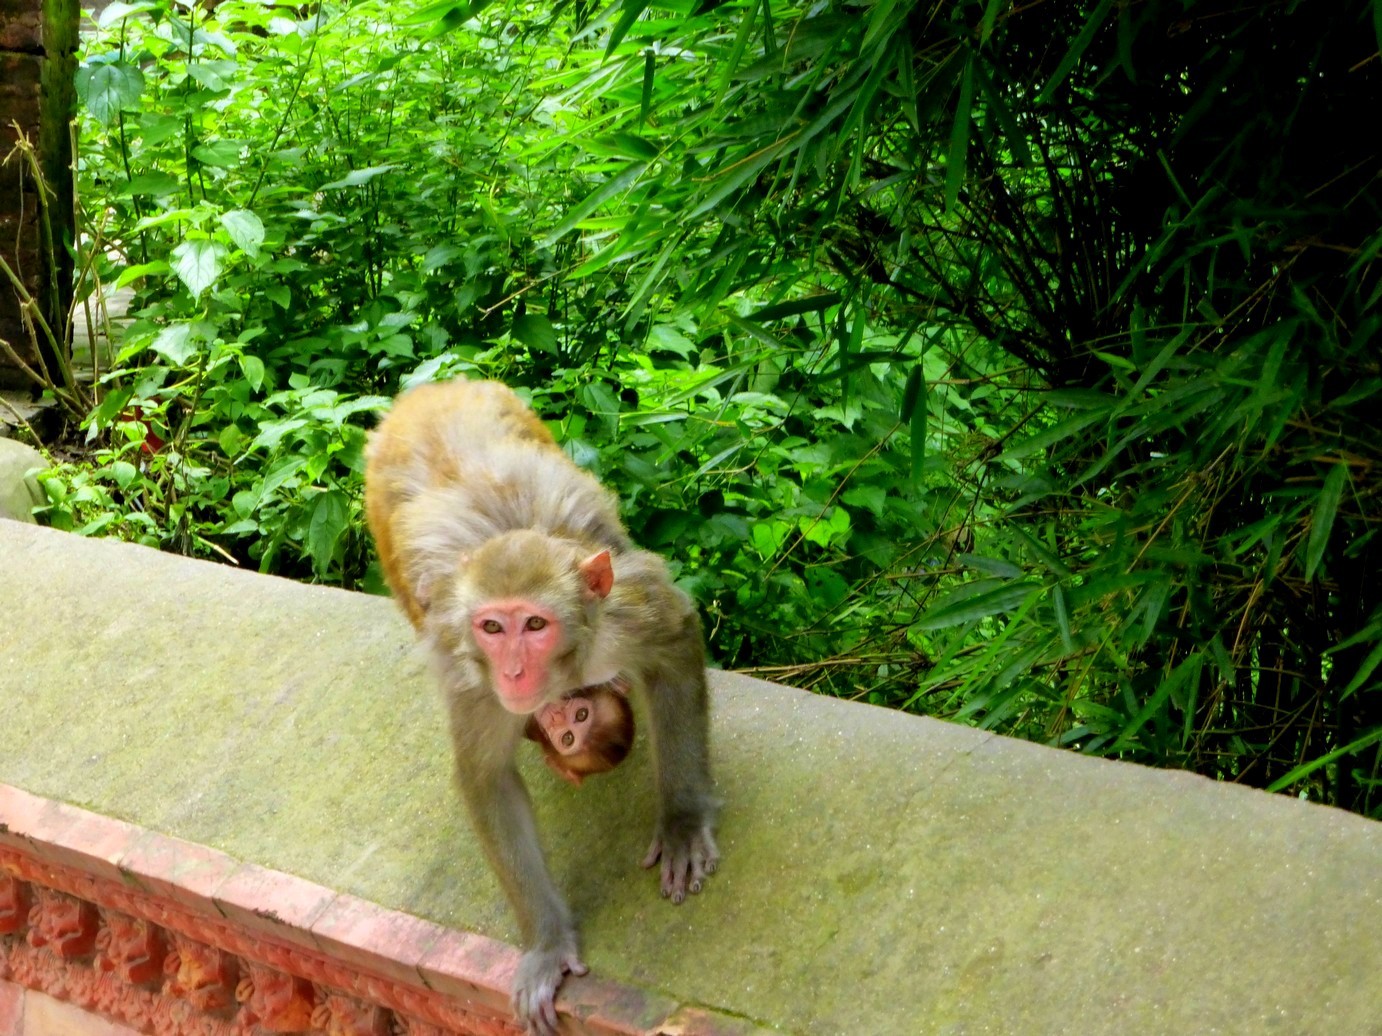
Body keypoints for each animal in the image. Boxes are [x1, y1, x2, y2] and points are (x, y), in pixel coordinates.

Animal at [362, 378, 718, 1033]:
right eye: (492, 627)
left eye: (534, 624)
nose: (514, 672)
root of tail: (430, 391)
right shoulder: (477, 687)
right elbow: (488, 778)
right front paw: (548, 944)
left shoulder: (624, 615)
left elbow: (676, 642)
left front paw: (681, 821)